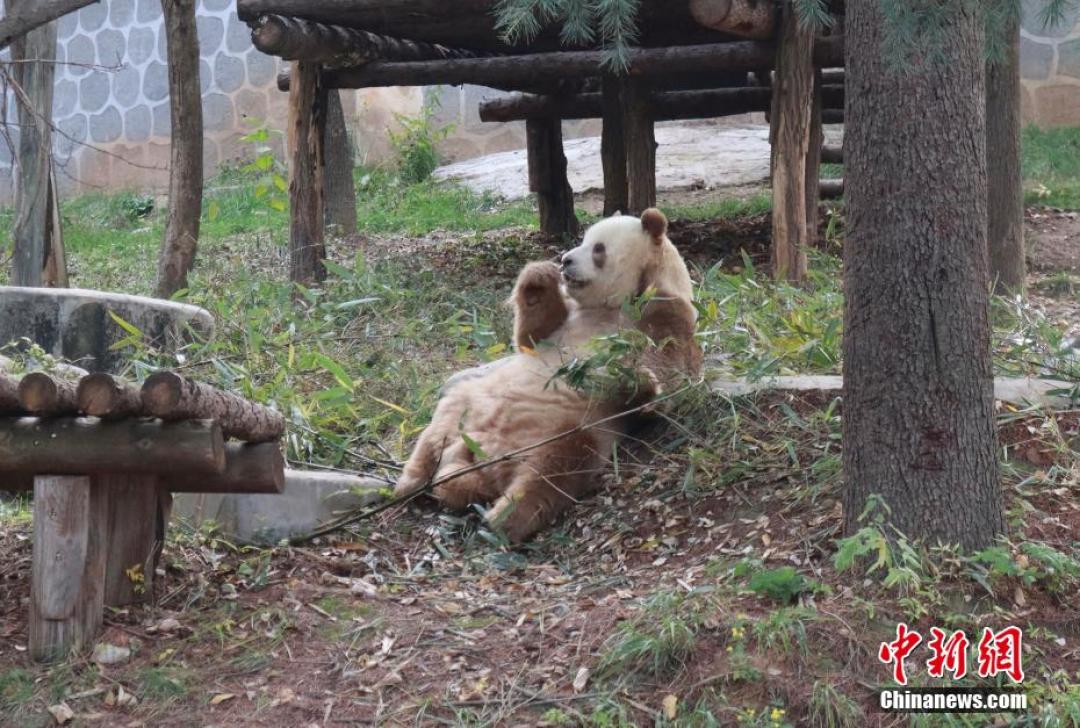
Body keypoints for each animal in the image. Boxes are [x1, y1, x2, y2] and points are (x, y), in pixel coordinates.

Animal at [394, 208, 701, 543]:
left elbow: (670, 368)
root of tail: (483, 456)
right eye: (583, 240)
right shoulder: (568, 323)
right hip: (469, 404)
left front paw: (635, 380)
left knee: (554, 468)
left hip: (566, 427)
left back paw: (505, 516)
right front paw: (538, 279)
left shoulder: (666, 314)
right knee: (438, 430)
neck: (616, 304)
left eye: (598, 249)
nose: (565, 260)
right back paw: (410, 481)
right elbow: (531, 335)